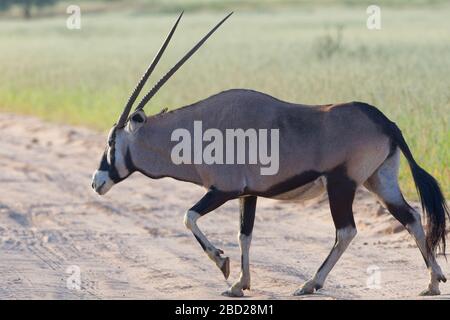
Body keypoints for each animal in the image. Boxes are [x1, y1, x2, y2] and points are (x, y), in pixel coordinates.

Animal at [90, 12, 446, 298]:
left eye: (111, 141)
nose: (96, 182)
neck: (196, 129)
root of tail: (386, 122)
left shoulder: (224, 190)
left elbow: (188, 216)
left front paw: (223, 264)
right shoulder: (248, 194)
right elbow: (244, 235)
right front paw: (239, 284)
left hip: (341, 185)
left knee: (346, 230)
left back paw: (310, 284)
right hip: (379, 181)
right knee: (411, 217)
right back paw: (432, 282)